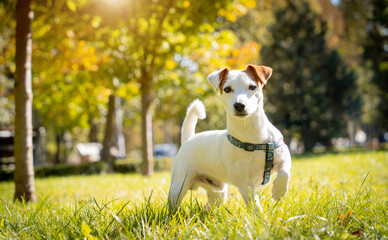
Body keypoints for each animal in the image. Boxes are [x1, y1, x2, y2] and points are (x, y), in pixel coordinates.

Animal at [167, 63, 292, 210]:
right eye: (227, 89)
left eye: (252, 87)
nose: (239, 105)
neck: (253, 136)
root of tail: (189, 139)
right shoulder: (245, 185)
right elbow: (254, 205)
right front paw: (260, 215)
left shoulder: (283, 157)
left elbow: (284, 172)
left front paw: (278, 191)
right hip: (179, 186)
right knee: (174, 203)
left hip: (218, 192)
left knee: (210, 205)